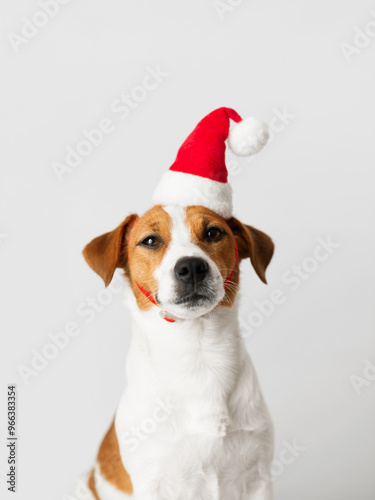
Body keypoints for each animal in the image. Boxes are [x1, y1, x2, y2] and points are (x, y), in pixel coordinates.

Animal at [82, 203, 274, 500]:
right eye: (151, 241)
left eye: (213, 232)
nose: (192, 266)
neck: (198, 355)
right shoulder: (153, 482)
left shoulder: (258, 476)